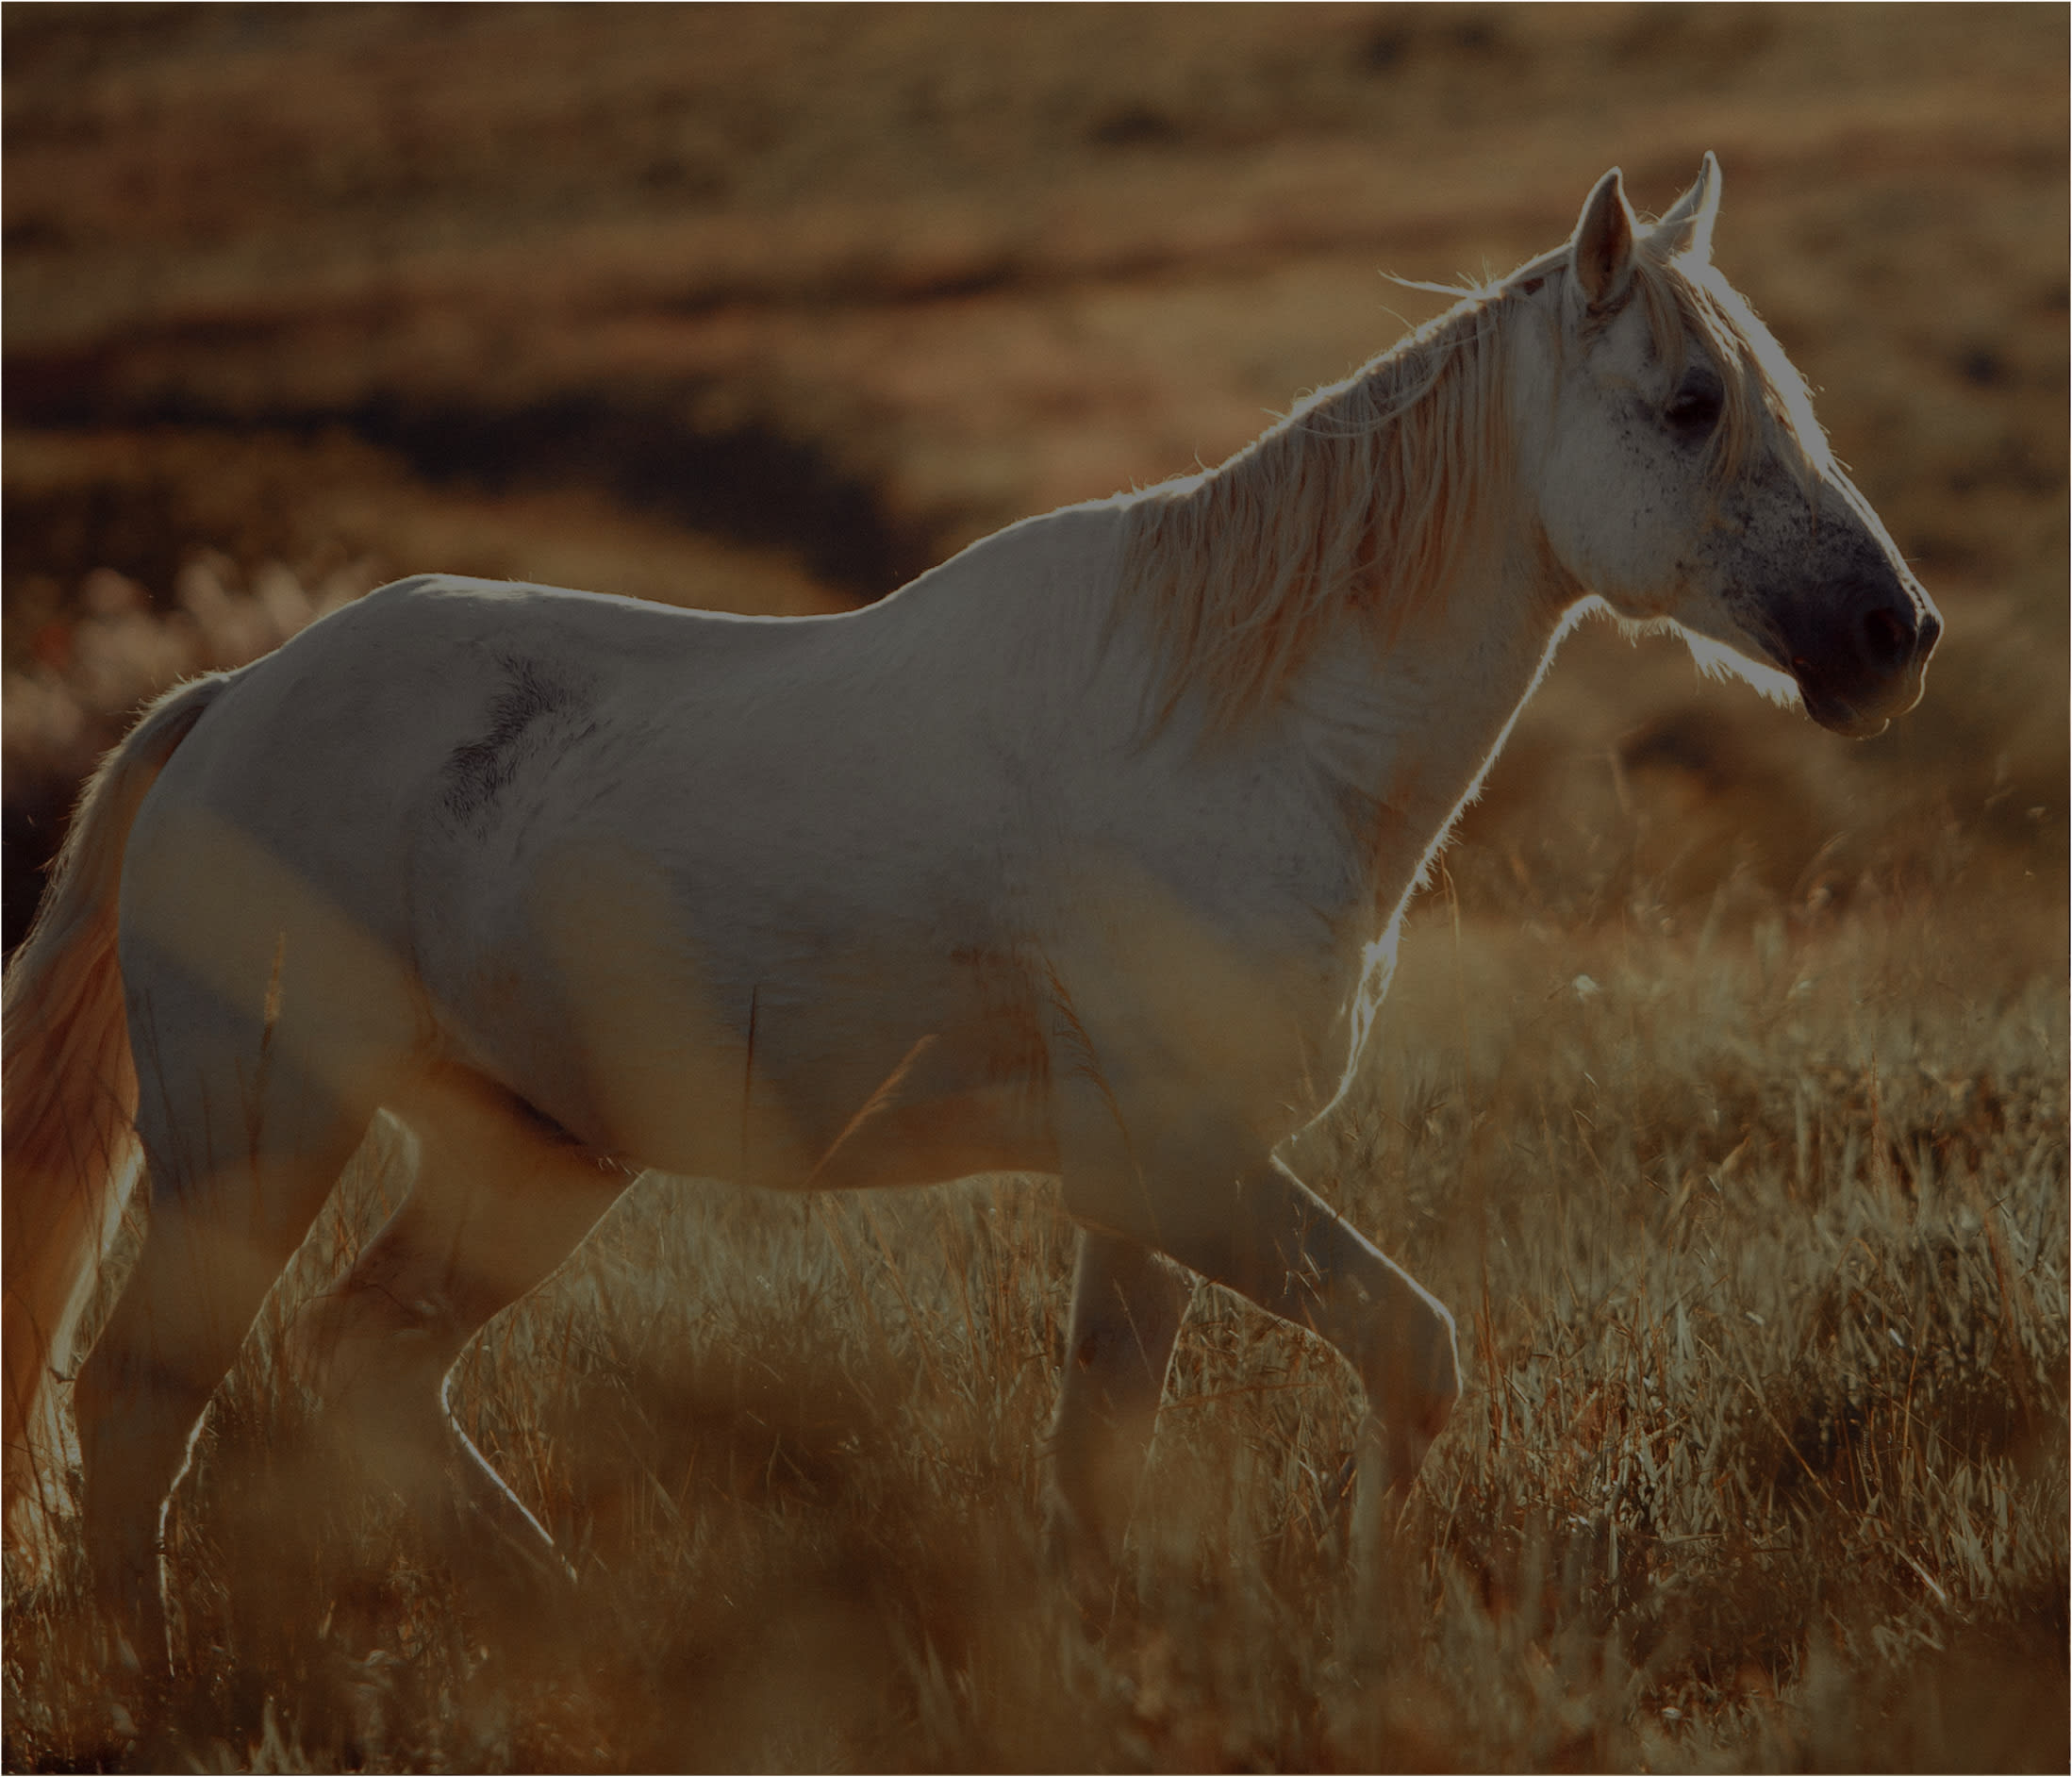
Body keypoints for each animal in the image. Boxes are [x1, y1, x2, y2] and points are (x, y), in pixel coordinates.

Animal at [2, 155, 1939, 1669]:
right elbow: (1414, 1355)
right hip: (261, 1131)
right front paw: (1369, 1636)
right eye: (1689, 403)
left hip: (524, 1157)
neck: (1238, 732)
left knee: (367, 1374)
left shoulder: (1150, 1193)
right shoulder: (1179, 1159)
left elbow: (1101, 1460)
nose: (1890, 637)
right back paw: (171, 1688)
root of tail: (226, 704)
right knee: (140, 1404)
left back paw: (581, 1632)